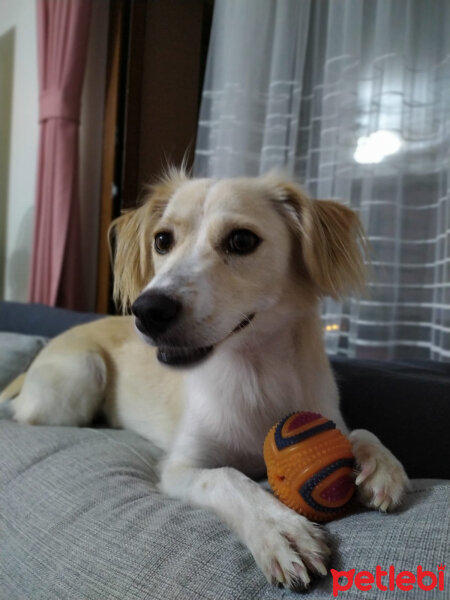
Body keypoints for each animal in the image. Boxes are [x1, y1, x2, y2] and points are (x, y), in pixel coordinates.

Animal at [0, 170, 408, 592]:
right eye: (162, 240)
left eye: (242, 241)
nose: (147, 311)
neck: (255, 373)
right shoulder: (179, 468)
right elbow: (228, 478)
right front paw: (278, 528)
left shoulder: (327, 414)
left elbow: (360, 431)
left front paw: (383, 466)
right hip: (82, 375)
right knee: (21, 412)